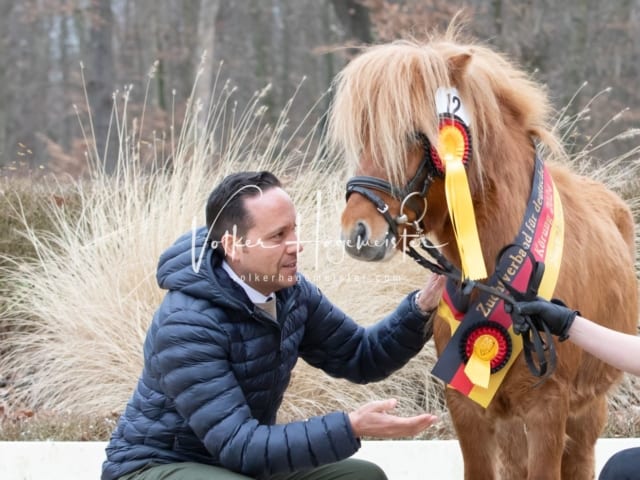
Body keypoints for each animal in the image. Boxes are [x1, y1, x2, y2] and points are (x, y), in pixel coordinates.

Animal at [328, 25, 636, 480]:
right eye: (364, 136)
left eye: (414, 135)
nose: (358, 232)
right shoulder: (467, 408)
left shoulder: (548, 410)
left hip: (586, 414)